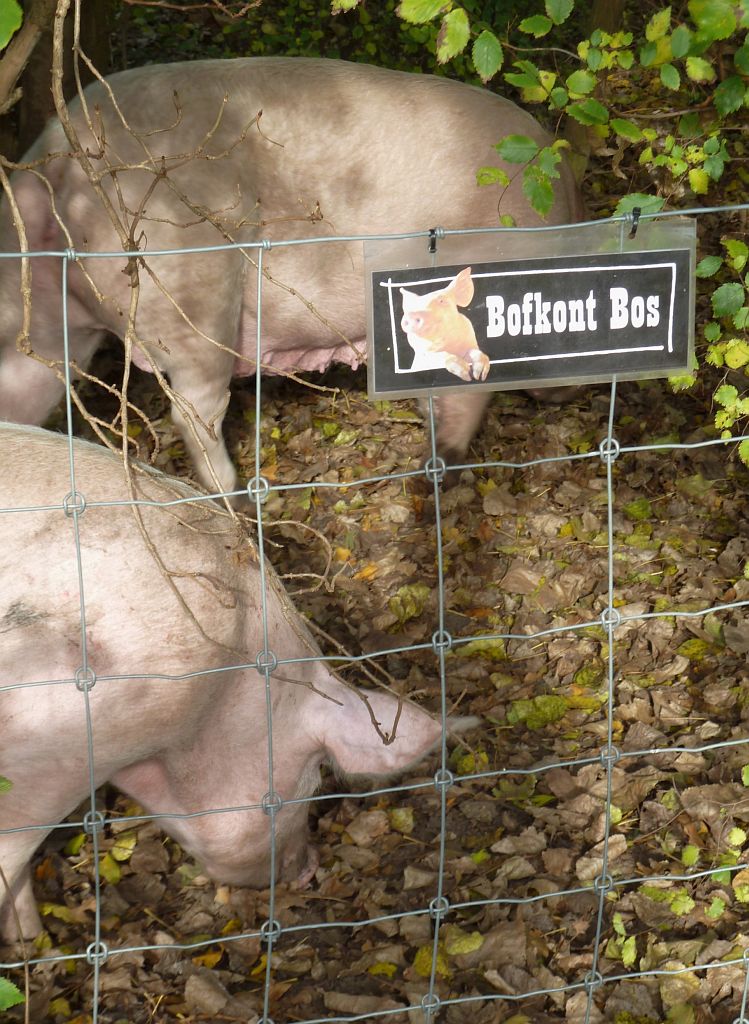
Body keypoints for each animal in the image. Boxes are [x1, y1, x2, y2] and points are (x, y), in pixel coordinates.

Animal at [0, 57, 581, 495]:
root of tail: (54, 167)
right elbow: (463, 393)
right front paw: (439, 473)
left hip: (55, 332)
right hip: (195, 293)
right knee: (195, 412)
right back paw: (235, 499)